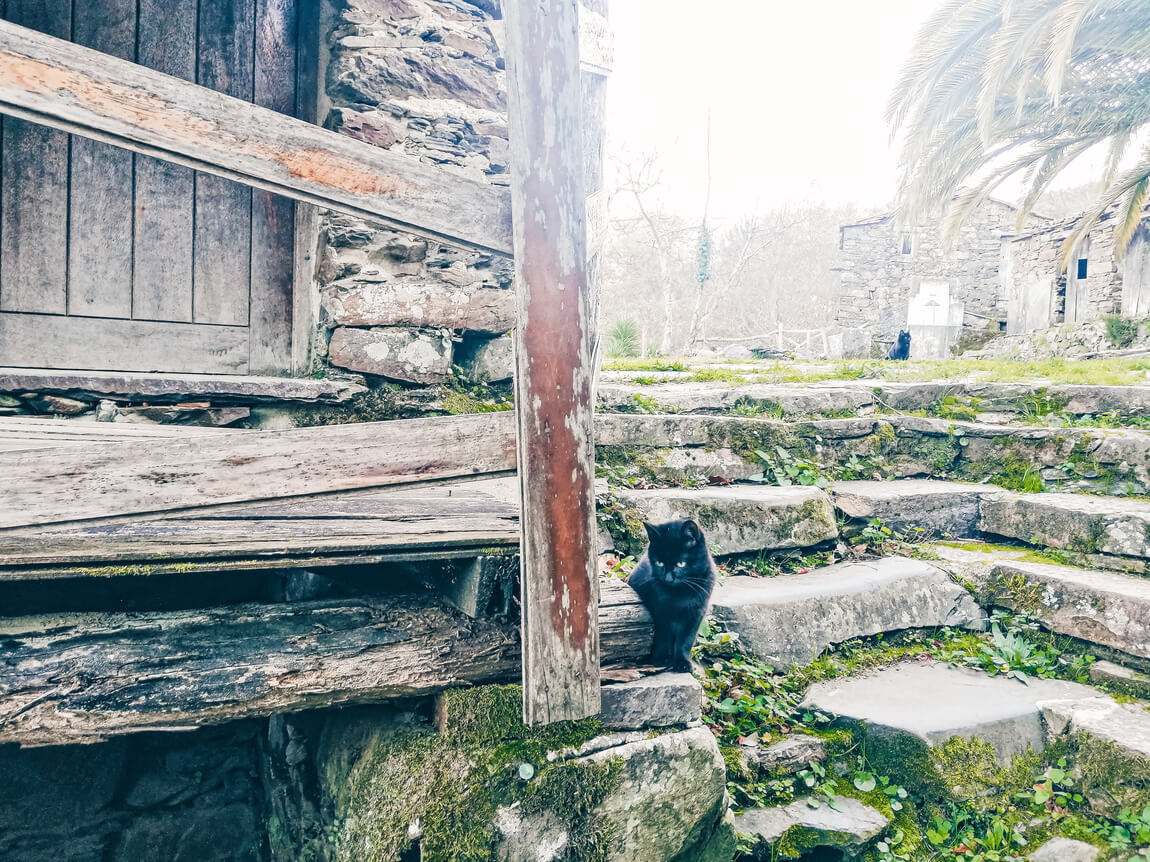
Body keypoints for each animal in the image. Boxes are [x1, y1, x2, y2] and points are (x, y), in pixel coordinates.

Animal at [625, 519, 713, 675]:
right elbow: (663, 636)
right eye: (659, 562)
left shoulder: (695, 615)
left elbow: (685, 641)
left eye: (681, 563)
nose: (668, 578)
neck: (680, 596)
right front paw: (662, 658)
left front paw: (682, 663)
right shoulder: (660, 613)